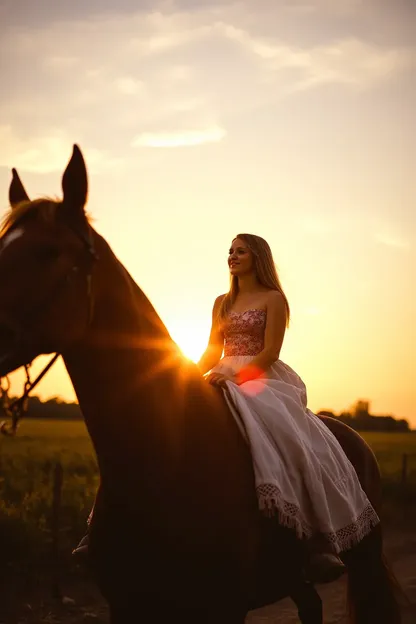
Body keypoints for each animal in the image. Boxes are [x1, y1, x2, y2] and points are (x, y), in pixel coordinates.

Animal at [0, 144, 404, 620]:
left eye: (48, 252)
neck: (165, 456)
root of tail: (353, 436)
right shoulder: (127, 605)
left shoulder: (224, 607)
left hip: (363, 556)